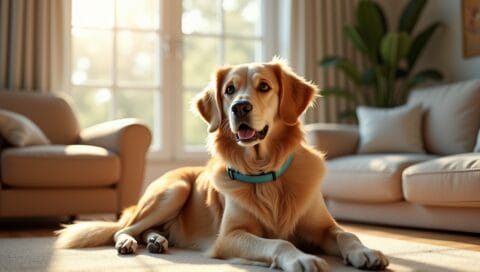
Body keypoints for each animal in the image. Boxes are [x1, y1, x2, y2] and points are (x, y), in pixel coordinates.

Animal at [57, 58, 390, 270]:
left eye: (264, 86)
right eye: (229, 90)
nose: (239, 107)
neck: (265, 174)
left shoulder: (322, 227)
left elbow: (347, 233)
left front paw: (366, 252)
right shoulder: (229, 237)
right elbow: (278, 244)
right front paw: (301, 258)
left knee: (145, 230)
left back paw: (156, 240)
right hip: (174, 190)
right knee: (123, 229)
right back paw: (130, 242)